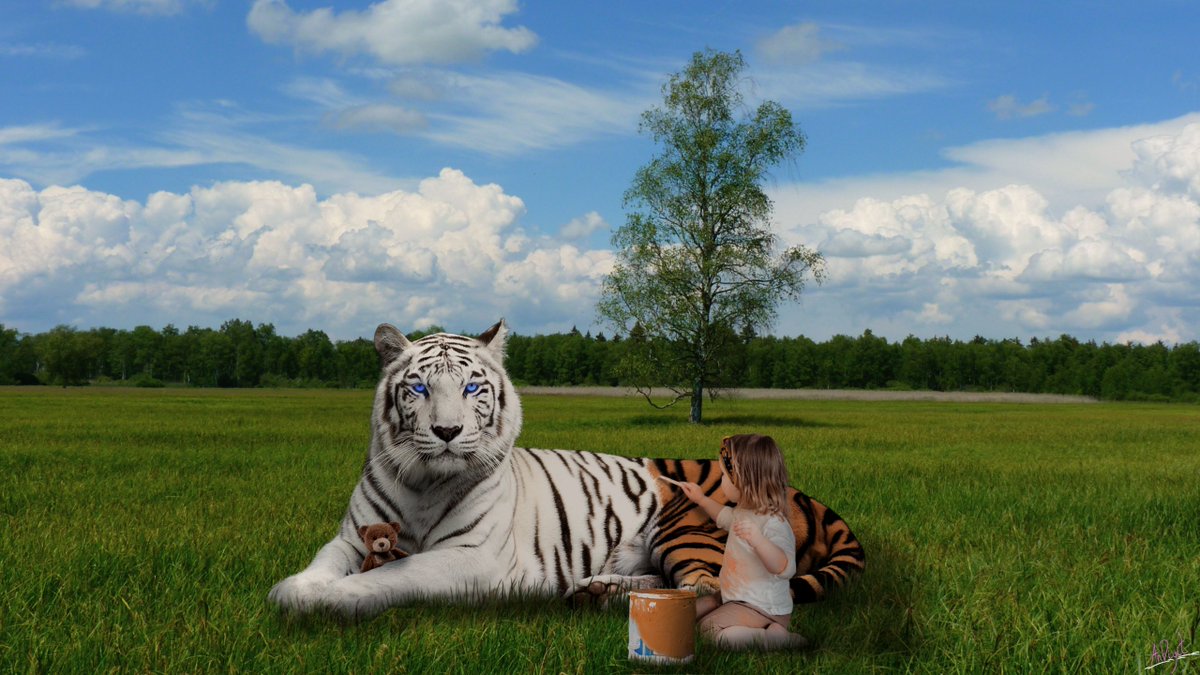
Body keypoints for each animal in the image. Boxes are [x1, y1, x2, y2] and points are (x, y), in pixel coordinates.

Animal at [268, 321, 865, 618]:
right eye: (418, 388)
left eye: (473, 387)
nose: (447, 432)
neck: (422, 482)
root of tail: (798, 491)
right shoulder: (352, 536)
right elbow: (322, 564)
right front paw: (297, 589)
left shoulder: (474, 558)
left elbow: (396, 573)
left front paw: (331, 600)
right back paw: (595, 591)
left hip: (689, 526)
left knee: (706, 590)